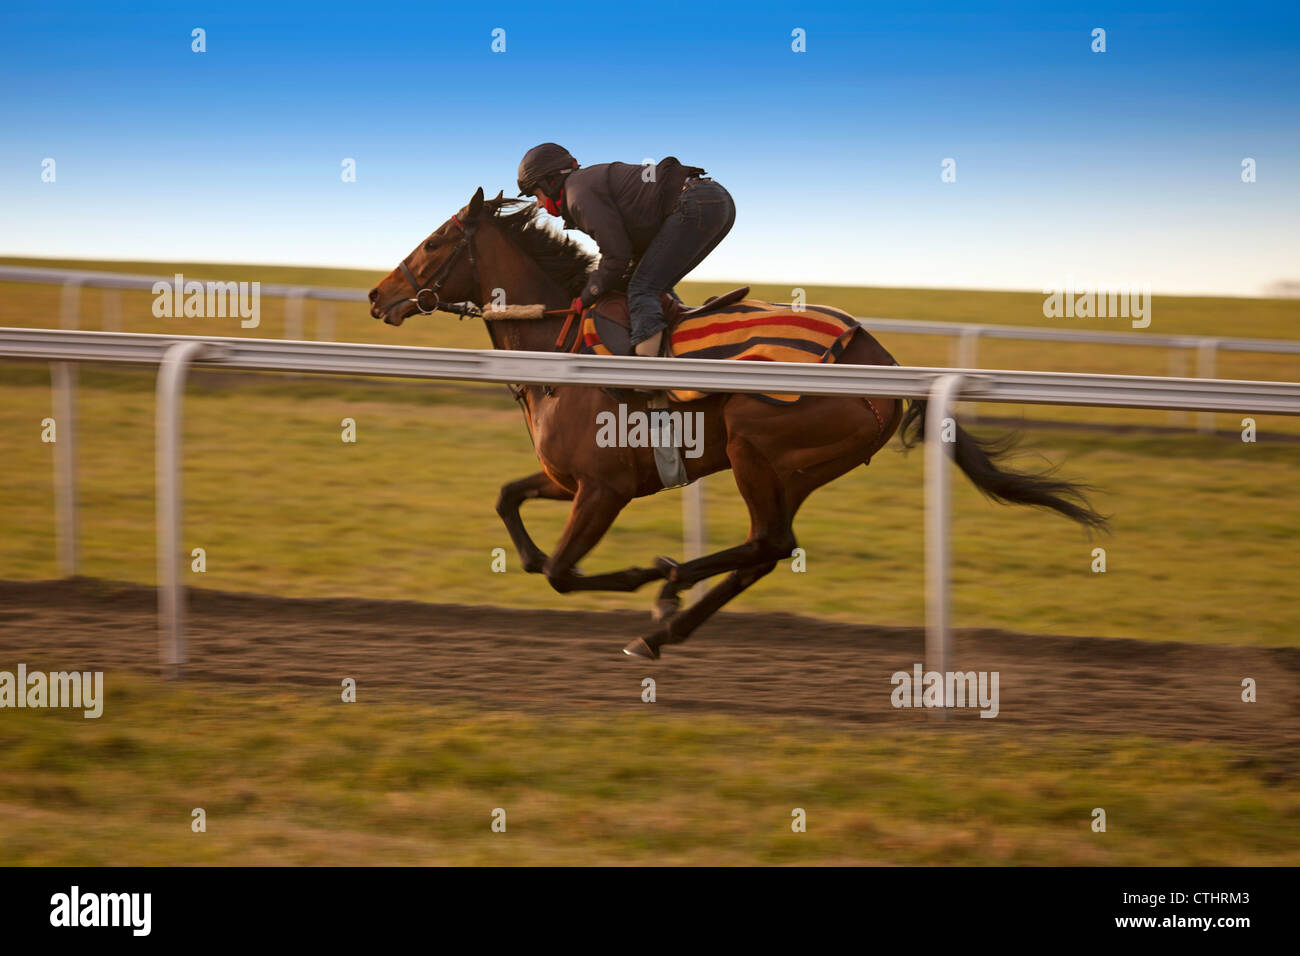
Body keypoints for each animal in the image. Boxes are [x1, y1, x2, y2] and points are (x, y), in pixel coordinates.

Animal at [366, 191, 1107, 660]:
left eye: (435, 240)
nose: (377, 295)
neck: (561, 346)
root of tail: (884, 361)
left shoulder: (604, 488)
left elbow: (559, 572)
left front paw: (640, 573)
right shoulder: (567, 479)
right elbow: (509, 506)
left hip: (758, 443)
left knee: (766, 541)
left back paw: (668, 591)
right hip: (797, 469)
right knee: (769, 547)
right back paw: (663, 628)